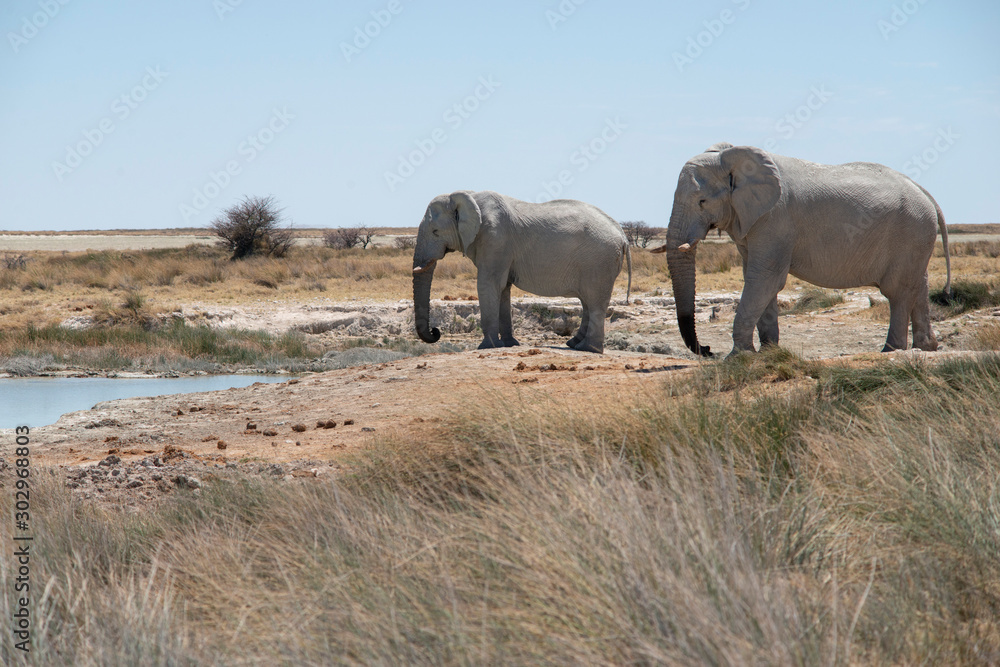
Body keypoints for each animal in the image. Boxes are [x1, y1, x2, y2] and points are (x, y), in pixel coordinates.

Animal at [412, 190, 632, 353]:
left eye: (435, 232)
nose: (436, 331)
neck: (467, 195)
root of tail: (623, 236)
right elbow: (503, 288)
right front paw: (509, 344)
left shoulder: (495, 238)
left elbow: (489, 284)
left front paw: (487, 347)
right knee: (587, 301)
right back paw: (574, 344)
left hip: (598, 261)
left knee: (594, 301)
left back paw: (588, 349)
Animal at [655, 143, 951, 357]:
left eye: (702, 201)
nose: (706, 350)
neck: (731, 157)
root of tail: (926, 193)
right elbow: (759, 279)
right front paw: (769, 354)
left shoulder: (775, 219)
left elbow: (765, 278)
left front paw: (739, 357)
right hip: (917, 236)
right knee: (918, 284)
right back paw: (926, 347)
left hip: (910, 230)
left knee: (897, 291)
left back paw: (890, 351)